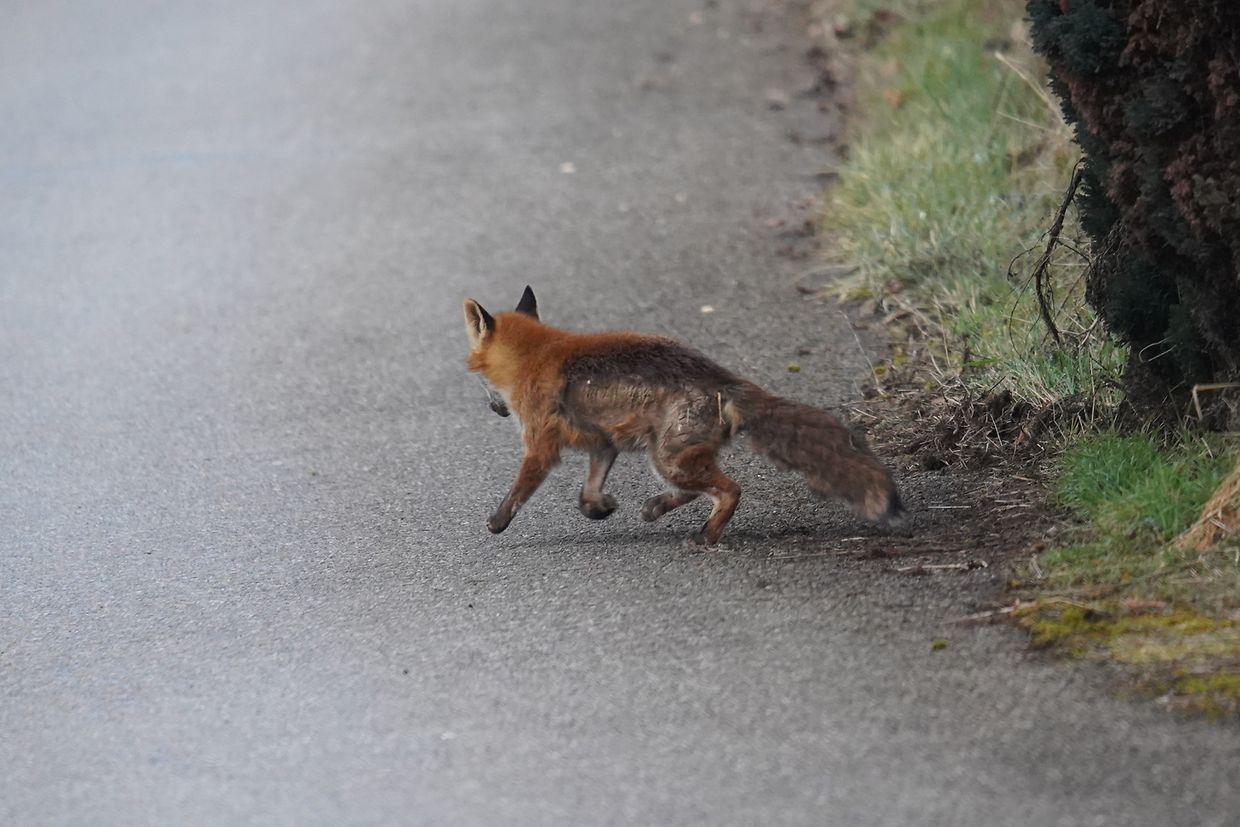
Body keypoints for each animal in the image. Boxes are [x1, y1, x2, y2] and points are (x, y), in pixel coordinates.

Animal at [463, 286, 906, 546]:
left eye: (482, 383)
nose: (495, 409)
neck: (536, 357)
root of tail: (724, 377)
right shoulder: (603, 444)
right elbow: (587, 494)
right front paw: (600, 507)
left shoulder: (541, 446)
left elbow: (519, 491)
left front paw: (497, 522)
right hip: (671, 457)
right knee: (699, 490)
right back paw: (658, 508)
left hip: (668, 458)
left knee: (730, 490)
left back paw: (705, 536)